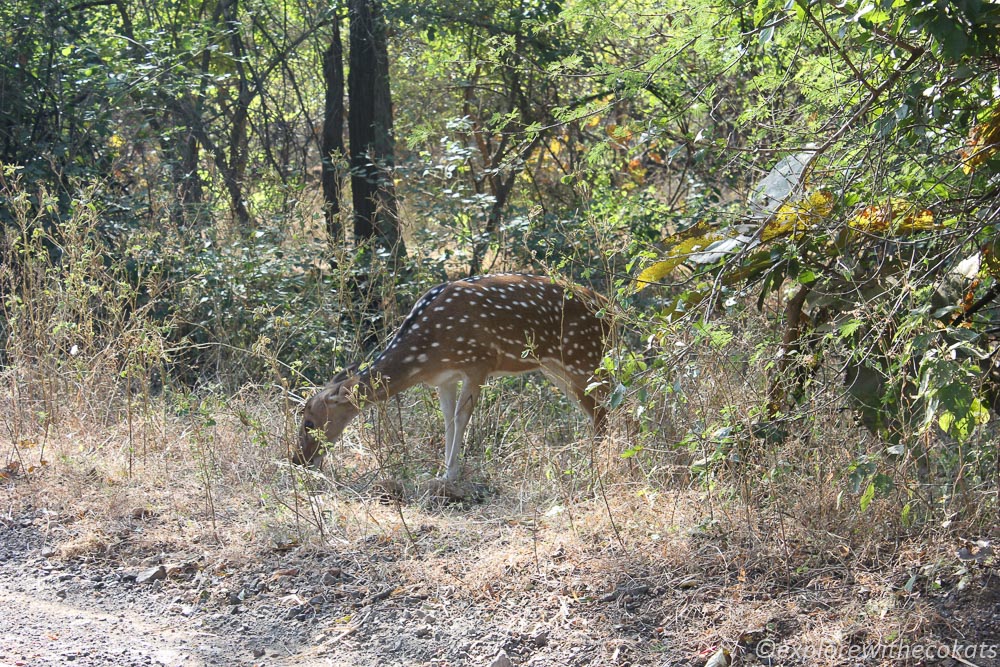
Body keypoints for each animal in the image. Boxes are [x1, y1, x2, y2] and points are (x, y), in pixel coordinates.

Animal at [294, 274, 608, 482]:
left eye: (309, 423)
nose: (299, 460)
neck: (427, 351)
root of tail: (608, 306)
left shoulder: (479, 362)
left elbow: (461, 416)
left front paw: (450, 474)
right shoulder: (444, 378)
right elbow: (446, 419)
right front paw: (441, 470)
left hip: (587, 356)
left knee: (610, 405)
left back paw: (601, 463)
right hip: (556, 368)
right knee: (595, 411)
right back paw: (594, 459)